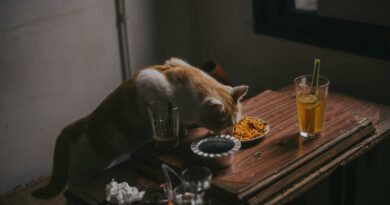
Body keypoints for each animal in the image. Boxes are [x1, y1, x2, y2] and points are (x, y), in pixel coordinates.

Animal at [32, 57, 248, 199]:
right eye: (226, 124)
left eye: (235, 123)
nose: (233, 133)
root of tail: (77, 124)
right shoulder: (149, 84)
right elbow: (167, 120)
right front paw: (179, 130)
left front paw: (186, 127)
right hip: (84, 170)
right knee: (73, 183)